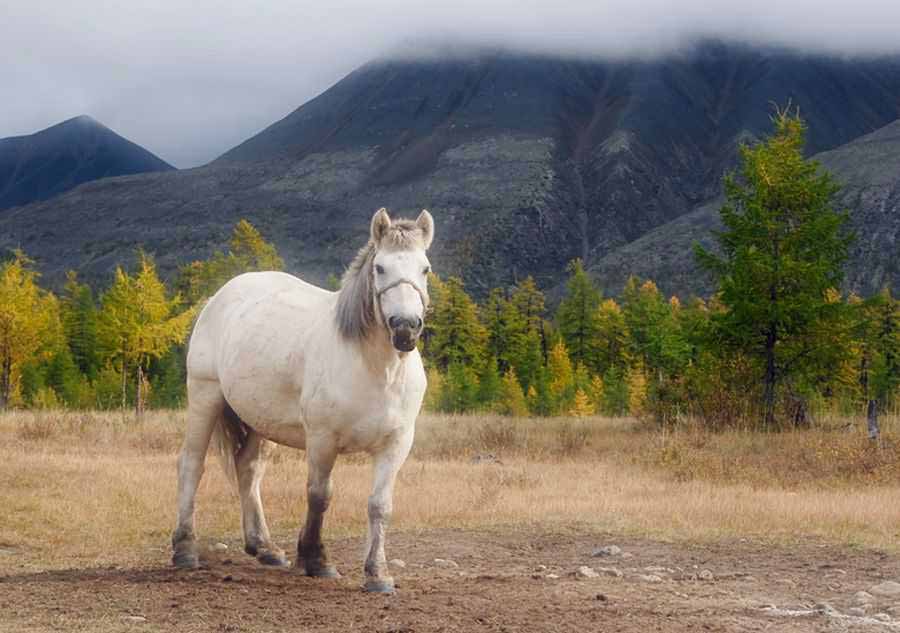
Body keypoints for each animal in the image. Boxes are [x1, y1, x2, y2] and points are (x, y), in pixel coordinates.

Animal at [173, 207, 436, 592]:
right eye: (380, 268)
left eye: (425, 268)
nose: (405, 328)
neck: (377, 369)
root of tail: (221, 295)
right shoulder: (323, 440)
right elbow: (319, 495)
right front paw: (315, 559)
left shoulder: (396, 444)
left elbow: (379, 505)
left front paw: (377, 574)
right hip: (205, 396)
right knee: (192, 465)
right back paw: (184, 550)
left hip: (259, 421)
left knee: (248, 469)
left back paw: (264, 547)